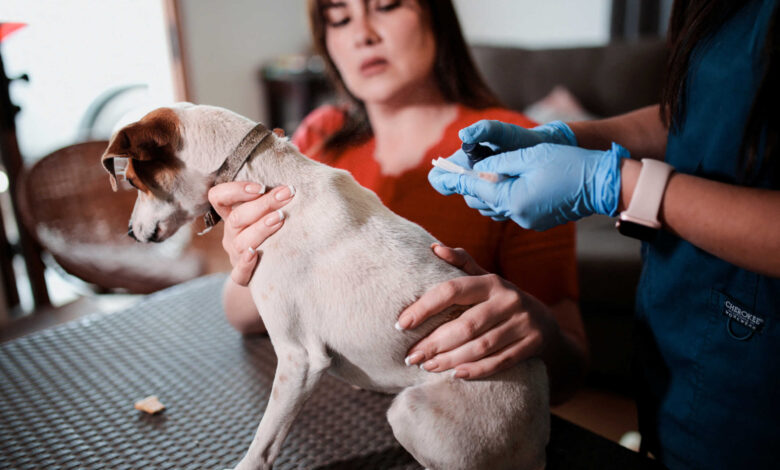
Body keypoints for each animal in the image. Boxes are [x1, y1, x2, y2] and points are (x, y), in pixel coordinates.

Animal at [100, 103, 548, 470]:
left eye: (135, 183)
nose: (129, 233)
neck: (263, 178)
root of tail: (537, 436)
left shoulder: (298, 358)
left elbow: (263, 444)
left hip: (409, 411)